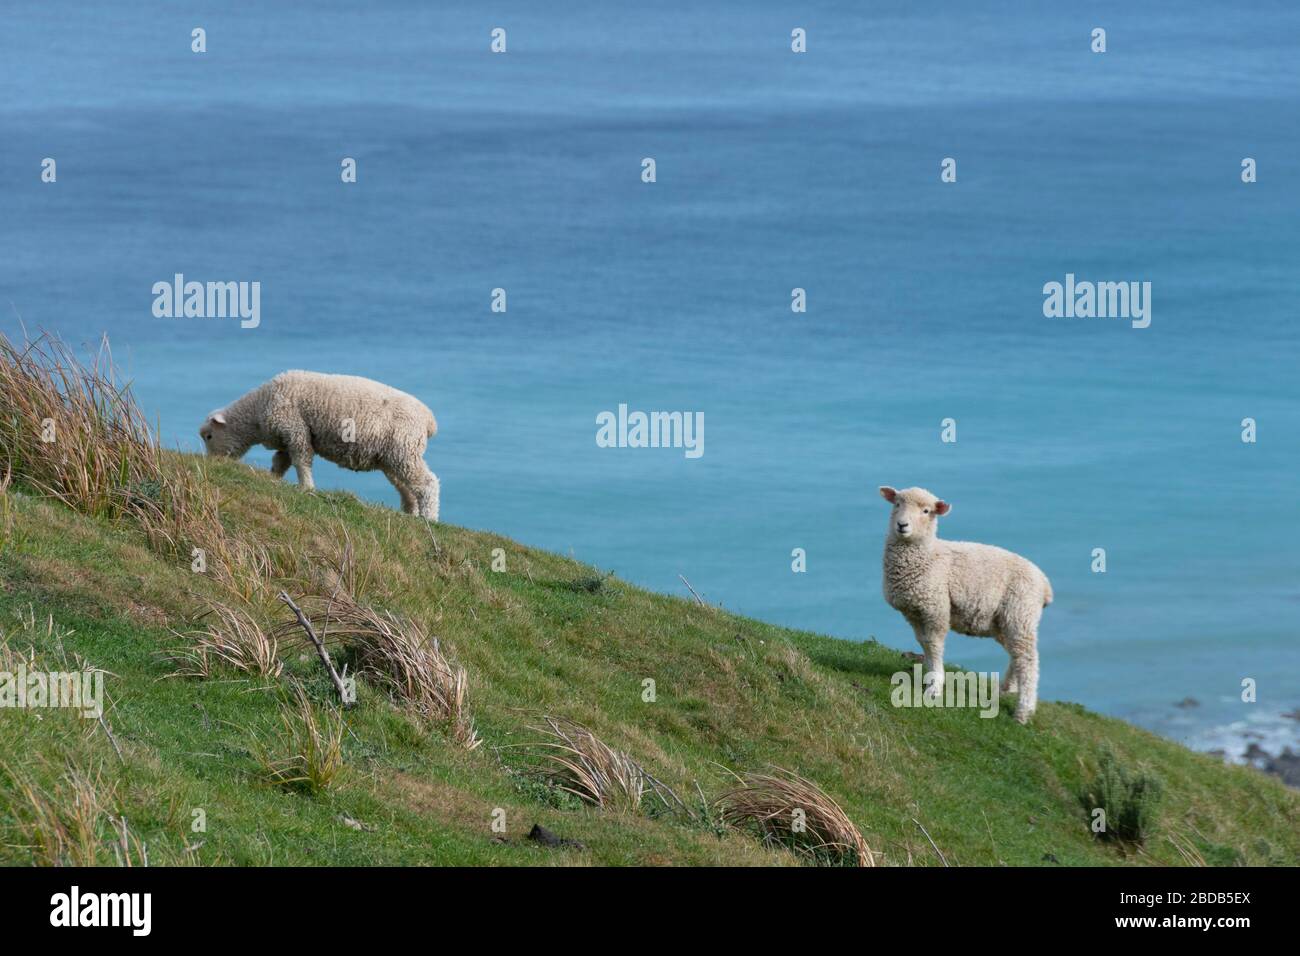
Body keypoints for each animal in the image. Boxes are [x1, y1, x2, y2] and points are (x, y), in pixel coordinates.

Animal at [198, 374, 441, 522]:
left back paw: (429, 518)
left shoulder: (295, 429)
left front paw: (307, 487)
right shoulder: (287, 439)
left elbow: (301, 460)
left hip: (405, 450)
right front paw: (273, 479)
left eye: (209, 436)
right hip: (394, 457)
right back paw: (410, 514)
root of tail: (429, 419)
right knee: (407, 488)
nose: (212, 463)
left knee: (427, 483)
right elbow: (280, 462)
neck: (257, 410)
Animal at [878, 486, 1050, 723]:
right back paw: (1008, 688)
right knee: (1016, 653)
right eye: (897, 504)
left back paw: (1023, 711)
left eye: (926, 511)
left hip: (1020, 612)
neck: (928, 555)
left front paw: (935, 686)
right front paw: (930, 676)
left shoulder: (936, 608)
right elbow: (923, 643)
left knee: (1028, 659)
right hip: (1005, 621)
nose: (902, 525)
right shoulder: (913, 612)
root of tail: (1044, 583)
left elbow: (934, 644)